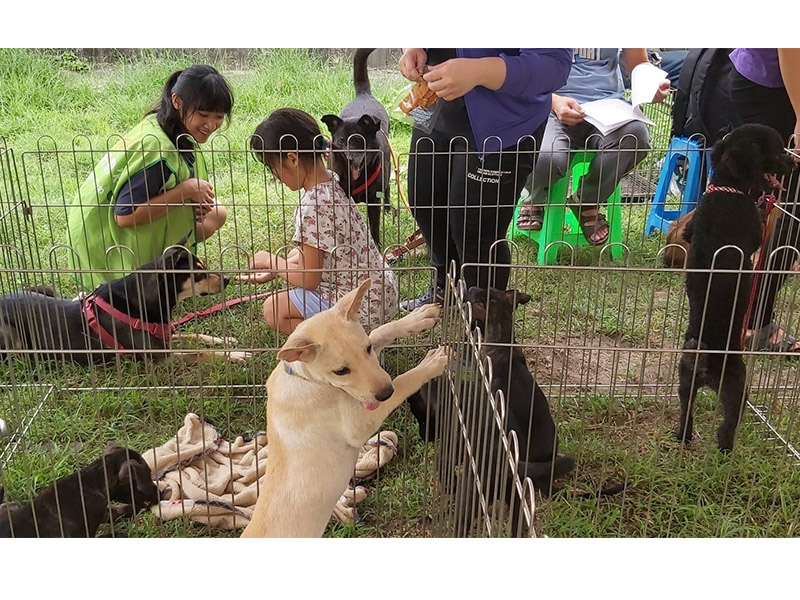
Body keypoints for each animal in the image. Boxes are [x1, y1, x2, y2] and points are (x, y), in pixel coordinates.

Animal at [241, 278, 446, 536]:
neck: (305, 378)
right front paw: (430, 364)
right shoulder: (359, 423)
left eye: (367, 349)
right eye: (340, 371)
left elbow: (378, 331)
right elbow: (402, 382)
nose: (384, 392)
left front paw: (418, 318)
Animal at [322, 46, 390, 248]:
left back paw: (389, 207)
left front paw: (376, 245)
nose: (351, 159)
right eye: (342, 141)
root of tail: (363, 94)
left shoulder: (374, 201)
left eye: (359, 140)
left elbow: (374, 227)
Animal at [676, 124, 792, 452]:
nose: (794, 164)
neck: (726, 189)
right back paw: (726, 451)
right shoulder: (753, 234)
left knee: (686, 411)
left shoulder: (690, 230)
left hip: (684, 382)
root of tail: (703, 360)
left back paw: (683, 437)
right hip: (737, 386)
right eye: (777, 150)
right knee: (727, 425)